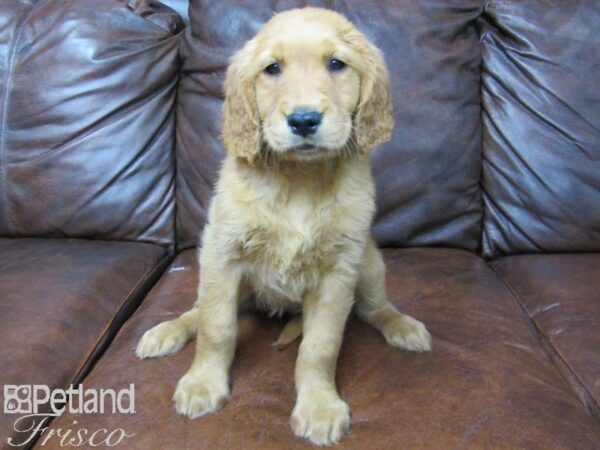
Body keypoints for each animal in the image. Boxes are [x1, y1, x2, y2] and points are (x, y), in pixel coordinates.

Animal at [138, 7, 432, 446]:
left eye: (336, 64)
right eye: (272, 68)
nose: (304, 120)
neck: (299, 179)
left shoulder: (338, 272)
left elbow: (320, 346)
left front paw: (319, 406)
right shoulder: (223, 254)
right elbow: (216, 328)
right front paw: (203, 383)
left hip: (369, 264)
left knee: (374, 308)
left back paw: (402, 326)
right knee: (199, 310)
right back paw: (168, 331)